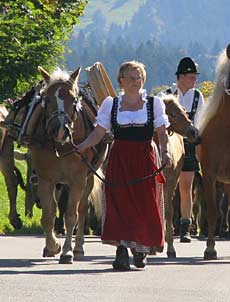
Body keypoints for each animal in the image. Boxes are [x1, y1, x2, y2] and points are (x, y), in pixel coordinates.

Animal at [29, 65, 107, 262]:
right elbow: (48, 215)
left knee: (82, 209)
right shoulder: (46, 179)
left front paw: (66, 251)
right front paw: (52, 246)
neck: (61, 146)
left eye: (73, 100)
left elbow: (72, 215)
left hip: (88, 179)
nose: (60, 130)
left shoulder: (78, 179)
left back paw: (78, 248)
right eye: (47, 99)